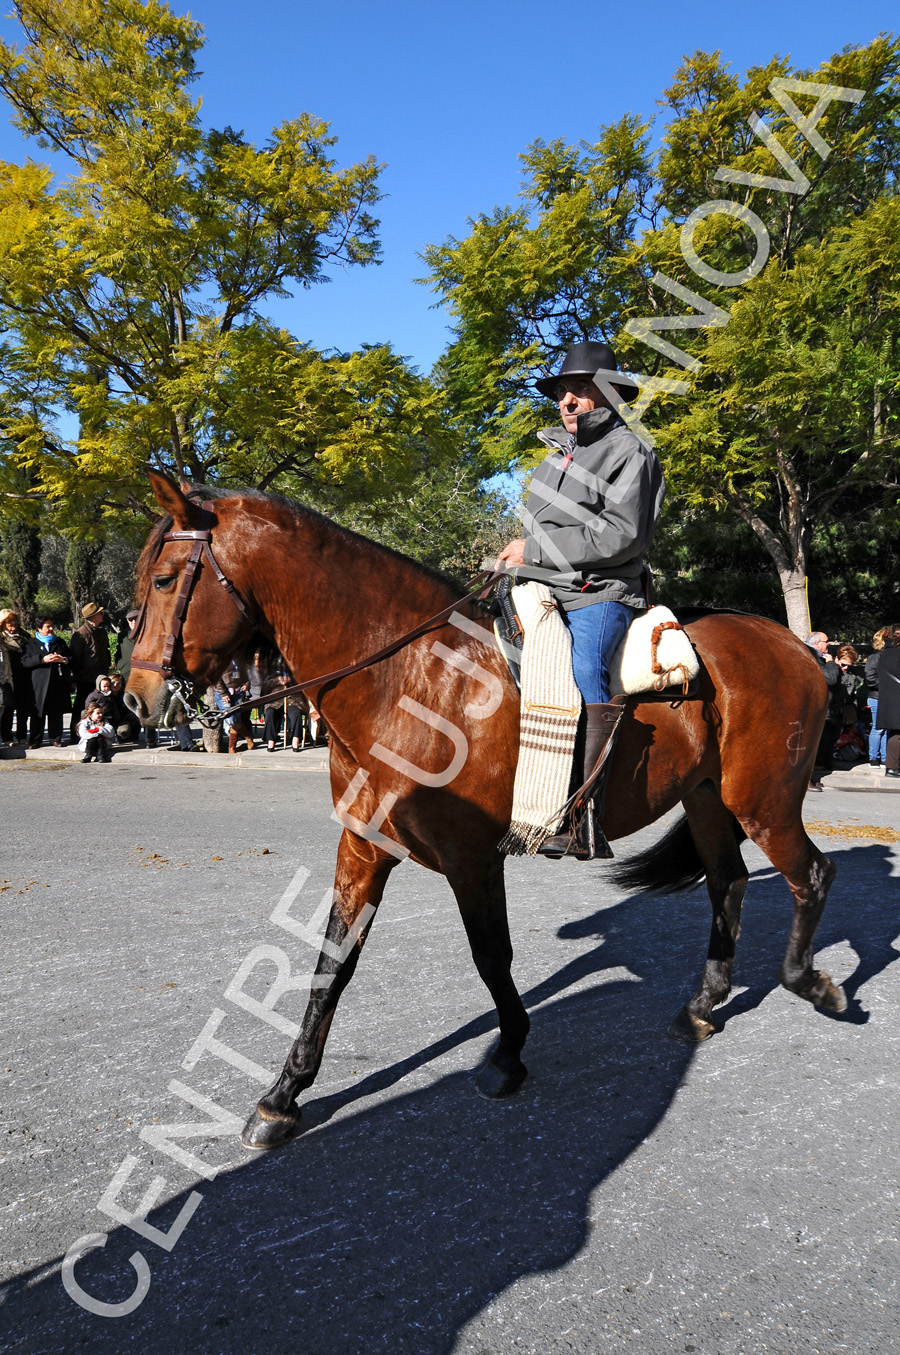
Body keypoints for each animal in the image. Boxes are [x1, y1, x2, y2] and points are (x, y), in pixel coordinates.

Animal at [124, 471, 845, 1149]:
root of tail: (796, 647)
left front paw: (509, 1054)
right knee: (728, 884)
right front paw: (283, 1094)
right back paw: (703, 1004)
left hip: (763, 803)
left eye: (164, 578)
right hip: (708, 800)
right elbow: (333, 965)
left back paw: (809, 981)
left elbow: (490, 956)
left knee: (811, 876)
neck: (411, 677)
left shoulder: (470, 856)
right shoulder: (363, 847)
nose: (135, 699)